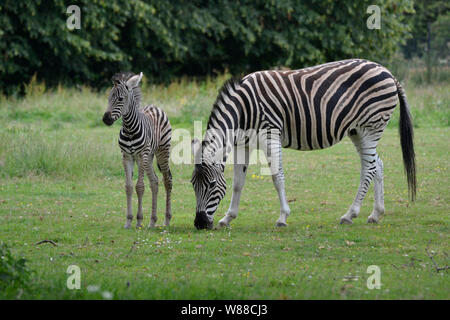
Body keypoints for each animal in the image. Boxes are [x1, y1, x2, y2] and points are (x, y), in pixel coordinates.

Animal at [103, 71, 172, 229]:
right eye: (109, 98)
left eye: (120, 99)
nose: (105, 119)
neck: (129, 129)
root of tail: (154, 106)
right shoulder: (126, 156)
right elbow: (128, 187)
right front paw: (129, 220)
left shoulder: (141, 155)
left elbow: (139, 186)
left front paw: (139, 220)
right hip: (149, 157)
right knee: (154, 181)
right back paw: (152, 221)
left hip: (161, 152)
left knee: (167, 180)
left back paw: (166, 220)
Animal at [190, 59, 414, 230]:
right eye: (192, 184)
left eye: (211, 185)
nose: (200, 224)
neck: (244, 109)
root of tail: (387, 72)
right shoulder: (243, 145)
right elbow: (238, 183)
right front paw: (228, 218)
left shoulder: (271, 134)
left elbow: (277, 176)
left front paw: (282, 217)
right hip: (358, 131)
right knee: (377, 165)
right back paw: (376, 213)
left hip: (371, 127)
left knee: (368, 168)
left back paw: (350, 214)